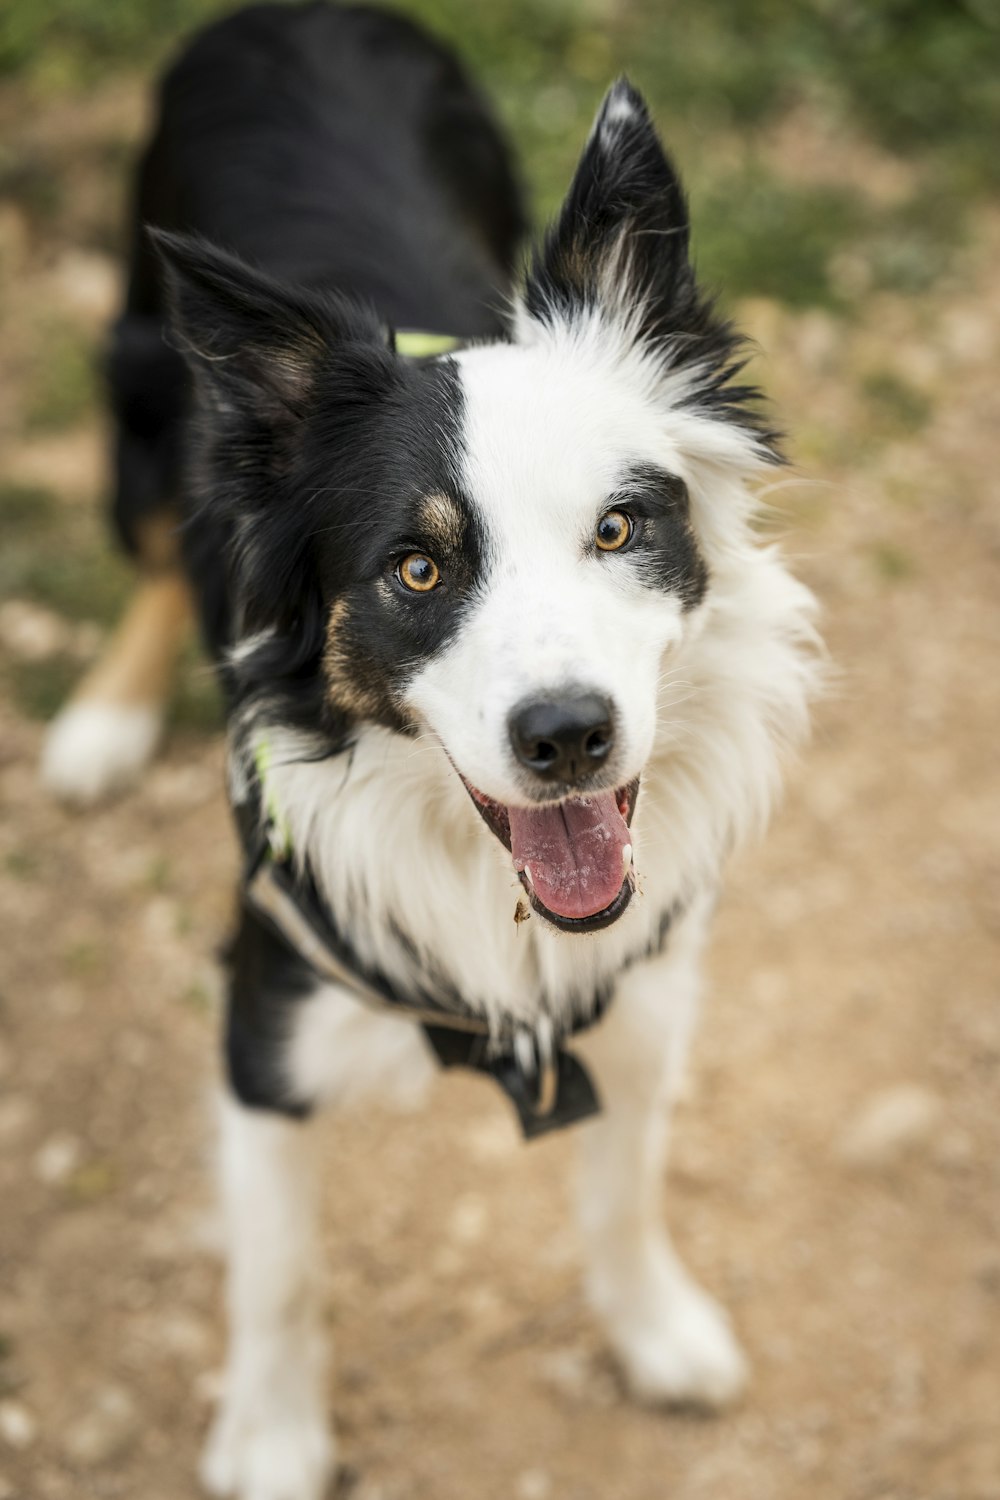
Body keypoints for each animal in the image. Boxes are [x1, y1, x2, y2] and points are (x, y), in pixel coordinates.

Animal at [41, 5, 821, 1494]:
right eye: (416, 569)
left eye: (621, 529)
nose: (568, 736)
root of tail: (296, 16)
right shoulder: (265, 1023)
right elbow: (278, 1274)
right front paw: (273, 1438)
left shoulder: (646, 992)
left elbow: (623, 1193)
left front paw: (657, 1331)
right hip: (144, 384)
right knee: (163, 543)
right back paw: (102, 720)